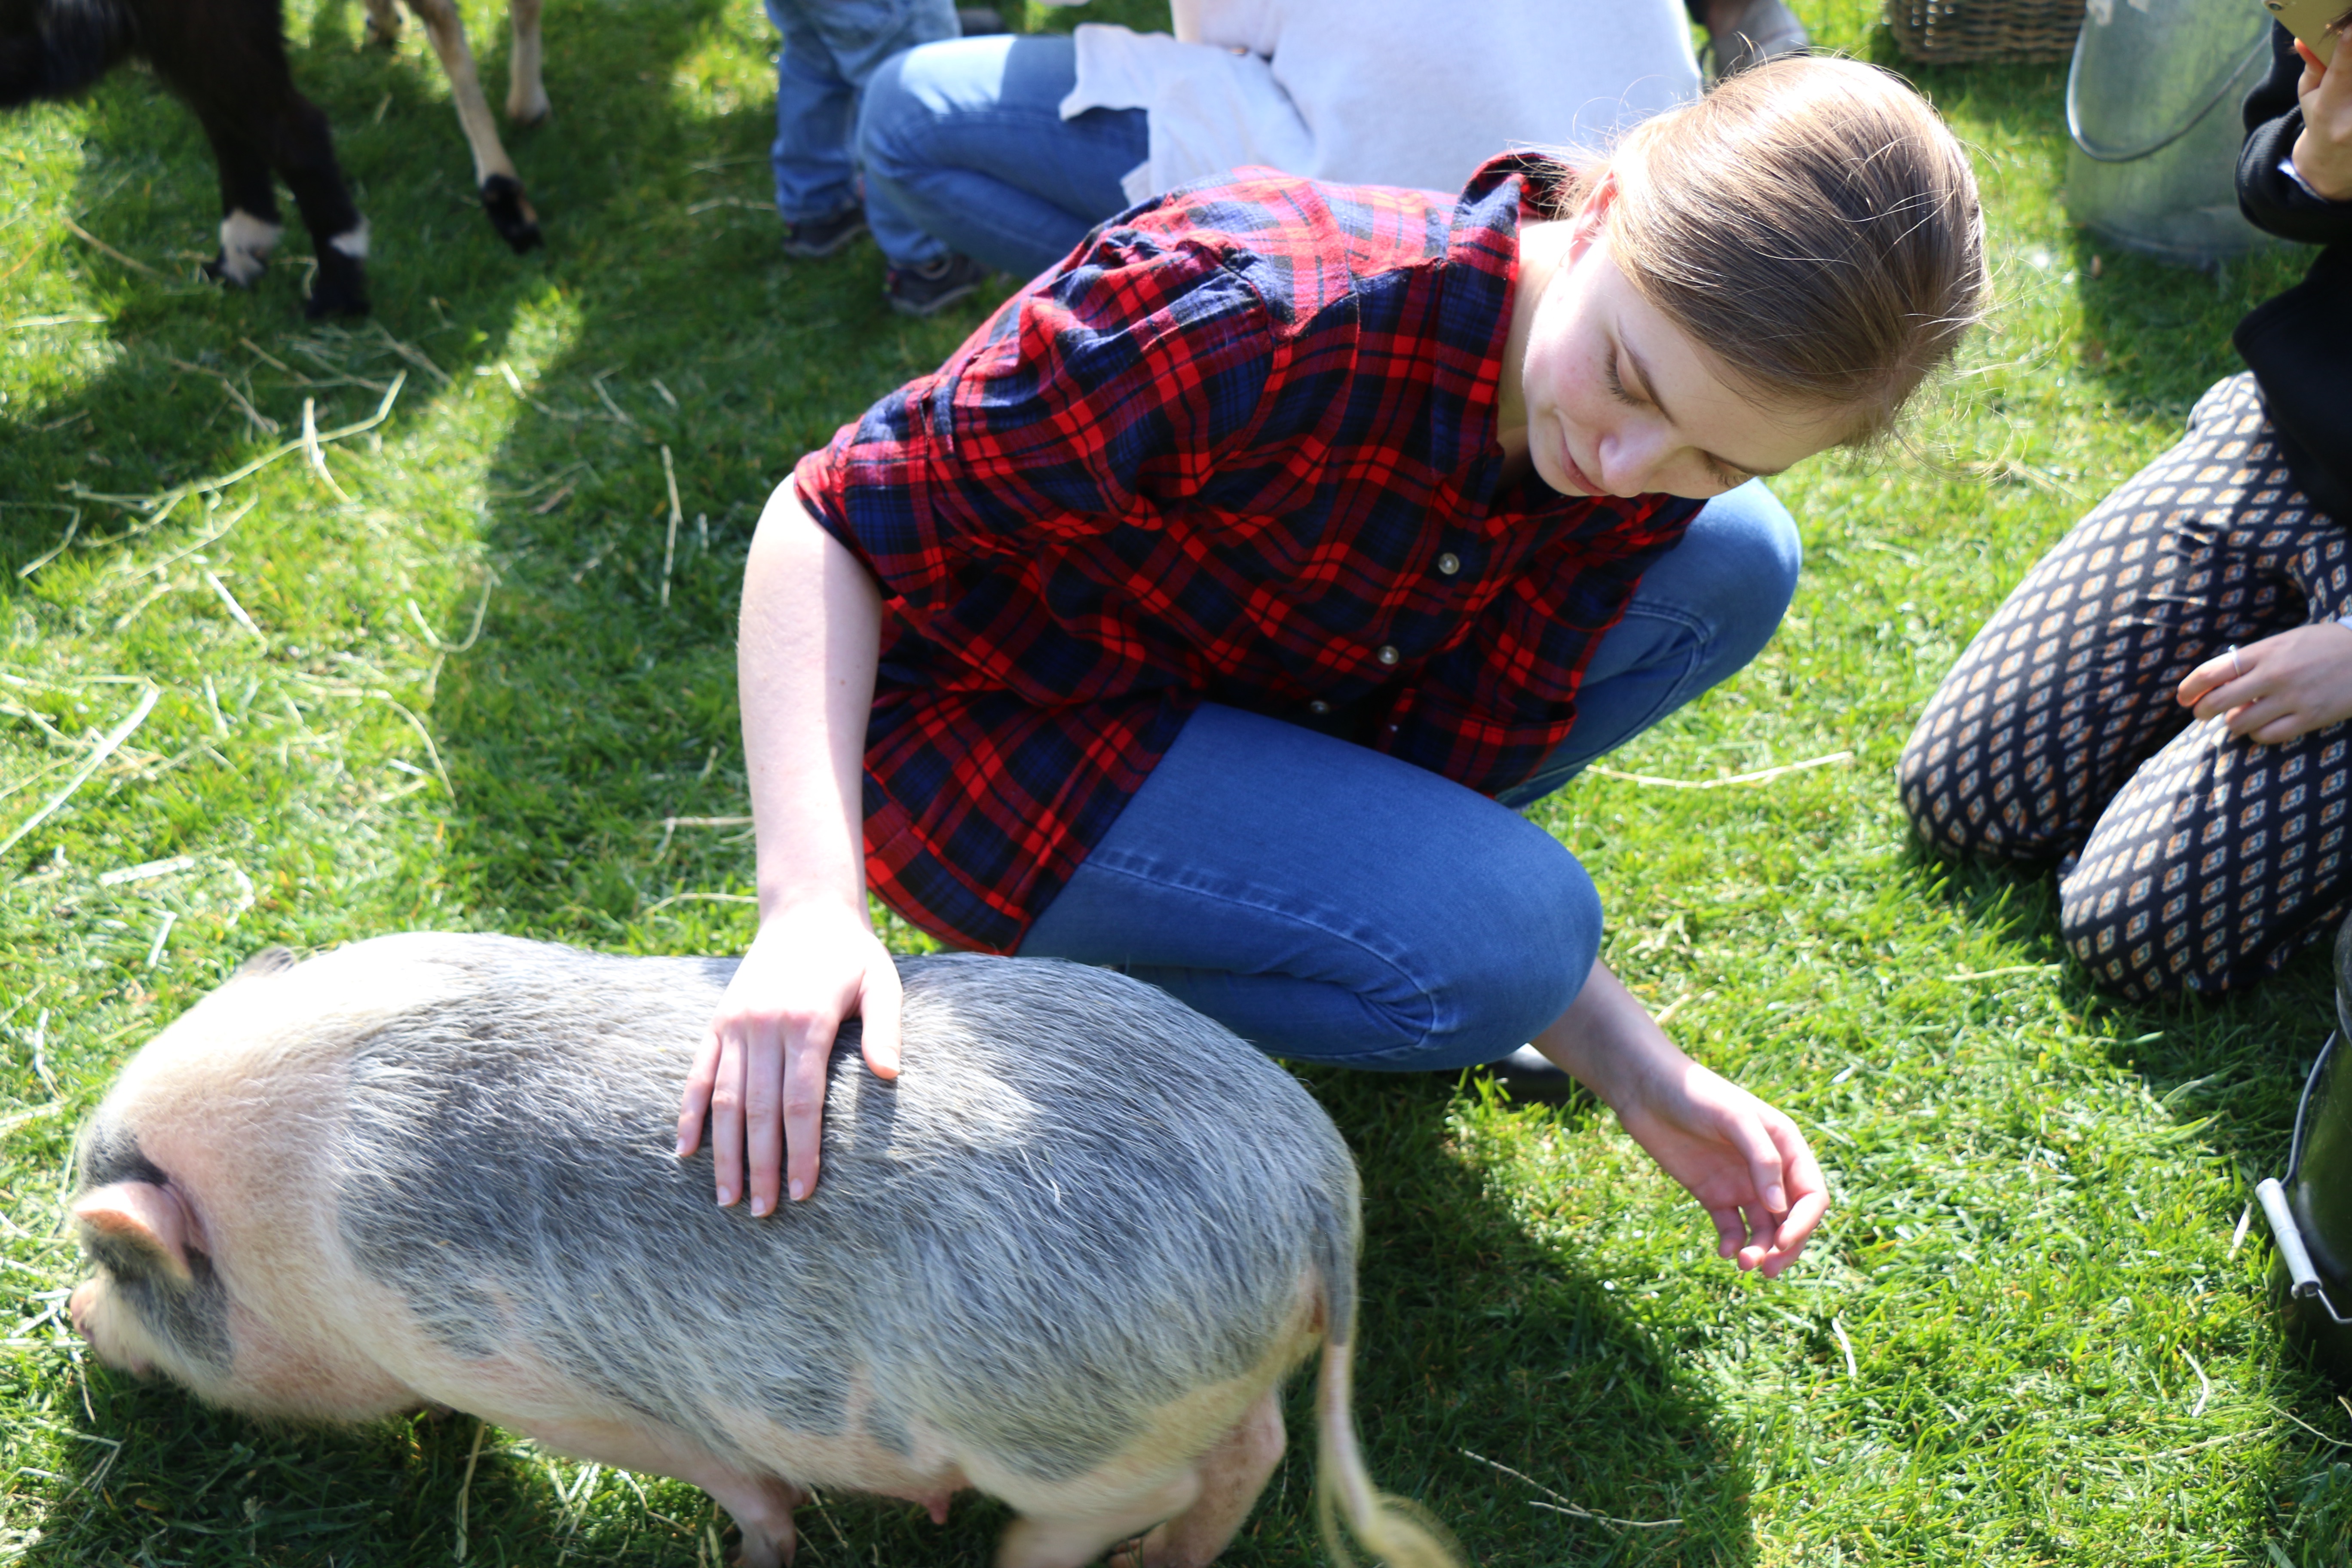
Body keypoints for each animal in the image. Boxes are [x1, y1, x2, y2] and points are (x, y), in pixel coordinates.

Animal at [64, 940, 1458, 1561]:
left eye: (127, 1270)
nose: (73, 1313)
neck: (297, 1202)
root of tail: (1315, 1195)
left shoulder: (555, 1389)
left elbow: (727, 1473)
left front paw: (761, 1549)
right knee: (1253, 1453)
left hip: (1065, 1434)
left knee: (1147, 1489)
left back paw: (1020, 1557)